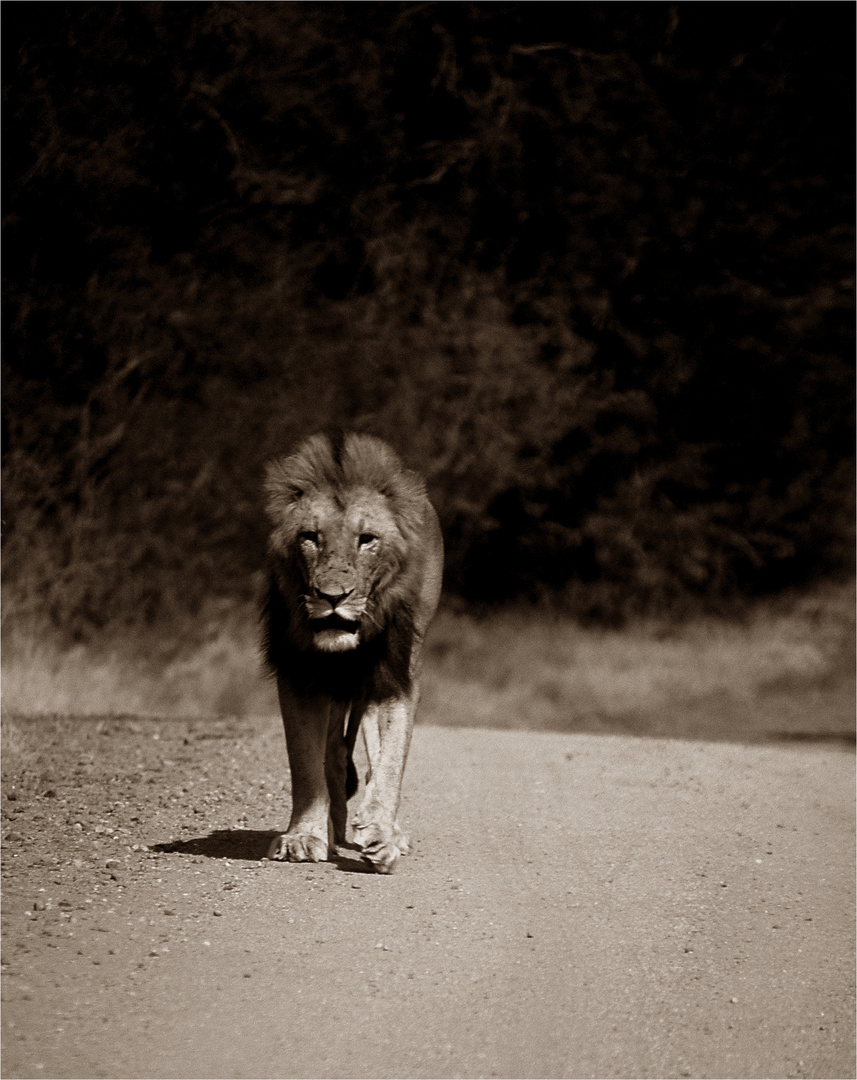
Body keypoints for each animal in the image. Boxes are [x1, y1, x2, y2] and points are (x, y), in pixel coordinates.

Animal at [260, 432, 440, 876]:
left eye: (367, 539)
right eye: (310, 536)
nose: (332, 597)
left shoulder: (397, 676)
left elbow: (391, 760)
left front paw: (381, 836)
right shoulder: (300, 675)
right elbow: (304, 762)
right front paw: (304, 836)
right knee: (335, 754)